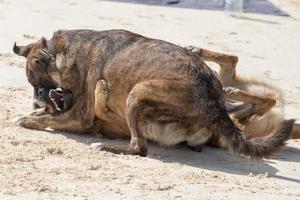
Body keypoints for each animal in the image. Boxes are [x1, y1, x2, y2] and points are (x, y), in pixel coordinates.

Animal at [12, 28, 294, 159]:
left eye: (37, 85)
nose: (36, 100)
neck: (61, 53)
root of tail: (215, 103)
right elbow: (46, 116)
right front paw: (32, 113)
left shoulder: (80, 117)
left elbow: (45, 120)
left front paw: (27, 118)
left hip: (139, 92)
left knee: (139, 147)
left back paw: (107, 144)